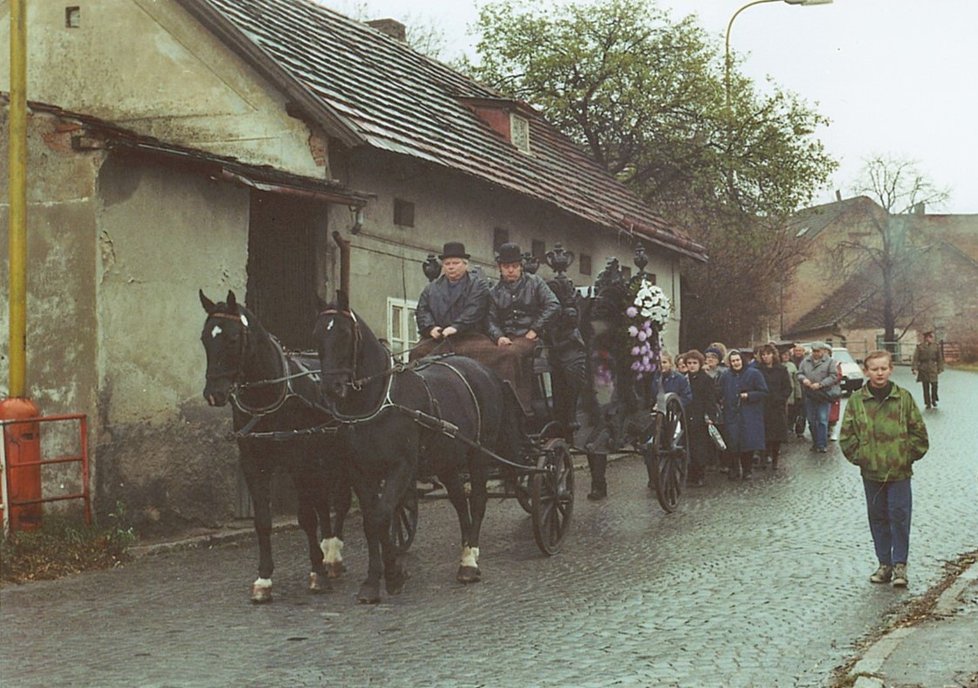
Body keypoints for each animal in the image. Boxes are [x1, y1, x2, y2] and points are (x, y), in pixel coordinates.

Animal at [197, 290, 350, 600]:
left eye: (233, 338)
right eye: (205, 338)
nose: (214, 394)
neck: (268, 396)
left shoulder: (298, 462)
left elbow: (306, 517)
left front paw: (316, 572)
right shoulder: (254, 463)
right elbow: (263, 521)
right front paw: (264, 579)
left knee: (339, 500)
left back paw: (333, 557)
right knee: (323, 500)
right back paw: (328, 551)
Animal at [316, 292, 524, 604]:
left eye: (344, 334)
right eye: (316, 334)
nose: (332, 388)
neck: (379, 402)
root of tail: (485, 371)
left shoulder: (402, 467)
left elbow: (381, 515)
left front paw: (393, 574)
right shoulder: (360, 471)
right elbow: (372, 521)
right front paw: (373, 581)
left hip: (478, 454)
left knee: (477, 501)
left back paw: (469, 563)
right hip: (448, 462)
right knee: (460, 502)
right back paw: (465, 549)